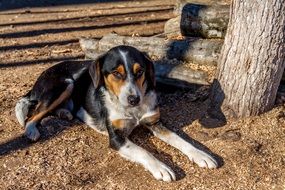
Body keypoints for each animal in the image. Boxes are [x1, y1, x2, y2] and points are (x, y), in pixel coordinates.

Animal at [14, 45, 216, 182]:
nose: (134, 99)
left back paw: (65, 113)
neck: (133, 111)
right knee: (33, 114)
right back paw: (31, 130)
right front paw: (161, 167)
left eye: (140, 71)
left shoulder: (154, 123)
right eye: (116, 74)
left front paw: (201, 155)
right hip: (65, 83)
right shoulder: (117, 138)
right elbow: (144, 151)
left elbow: (181, 140)